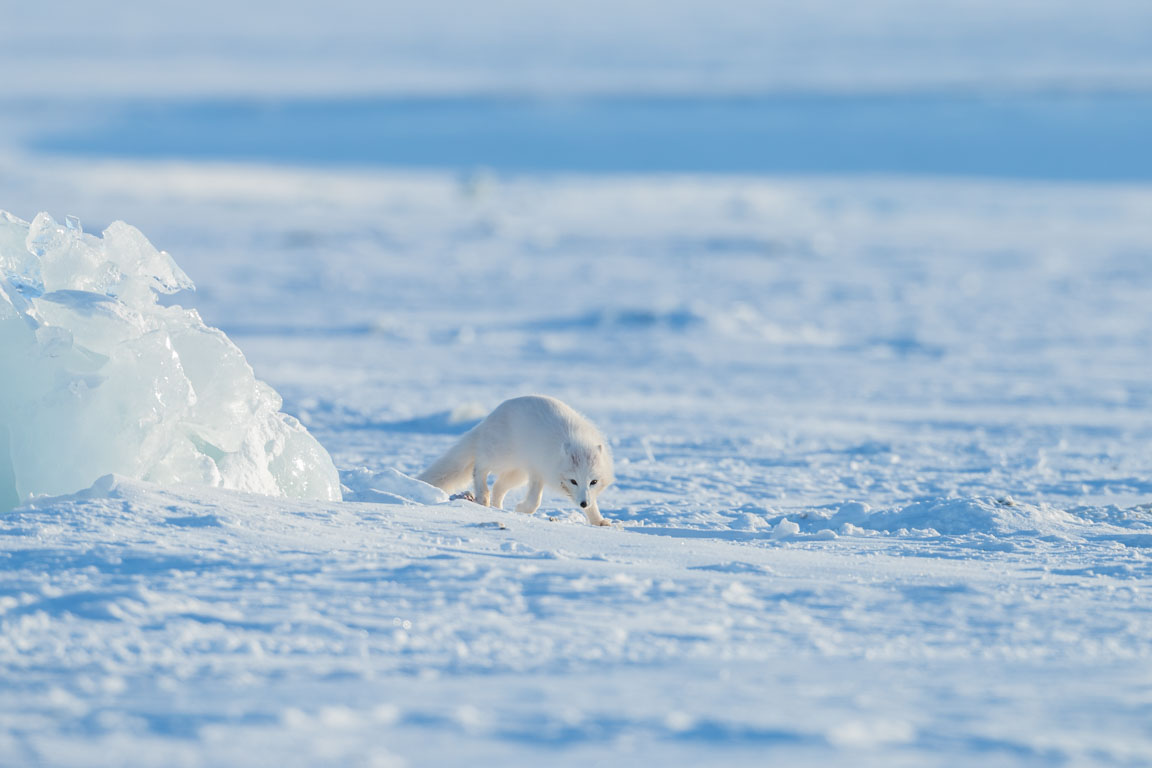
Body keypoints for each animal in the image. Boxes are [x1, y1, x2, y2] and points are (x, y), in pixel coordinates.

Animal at [421, 396, 617, 529]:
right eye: (573, 481)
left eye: (593, 482)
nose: (583, 504)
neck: (578, 440)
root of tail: (489, 418)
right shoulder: (537, 470)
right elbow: (534, 502)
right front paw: (521, 509)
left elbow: (594, 504)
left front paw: (599, 521)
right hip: (500, 458)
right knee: (479, 467)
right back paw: (483, 496)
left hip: (517, 473)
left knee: (498, 487)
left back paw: (498, 508)